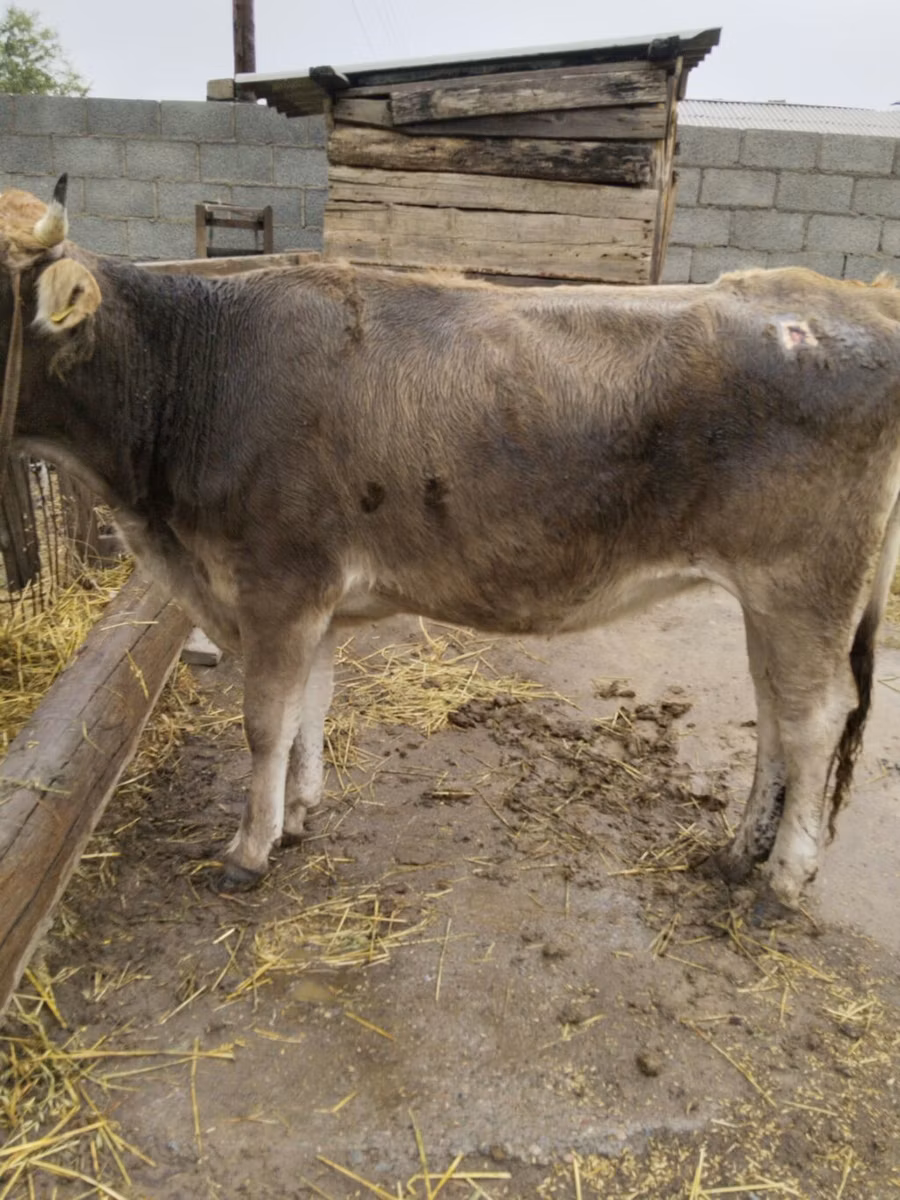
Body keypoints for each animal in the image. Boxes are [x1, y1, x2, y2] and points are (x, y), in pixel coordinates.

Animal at [2, 175, 899, 909]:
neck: (197, 370)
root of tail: (848, 295)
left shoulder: (277, 585)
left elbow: (263, 722)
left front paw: (247, 850)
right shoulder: (311, 602)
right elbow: (308, 709)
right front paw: (296, 816)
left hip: (805, 585)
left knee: (814, 720)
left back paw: (782, 881)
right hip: (773, 599)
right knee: (775, 712)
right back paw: (738, 854)